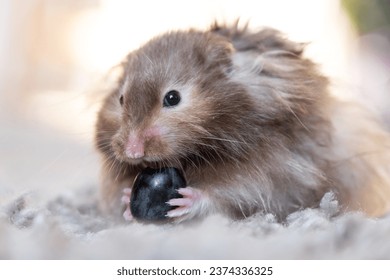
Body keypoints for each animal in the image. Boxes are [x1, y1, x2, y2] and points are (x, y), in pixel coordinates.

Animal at [94, 21, 390, 223]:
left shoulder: (276, 168)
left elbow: (234, 192)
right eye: (121, 99)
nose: (133, 152)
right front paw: (126, 201)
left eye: (172, 97)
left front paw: (185, 201)